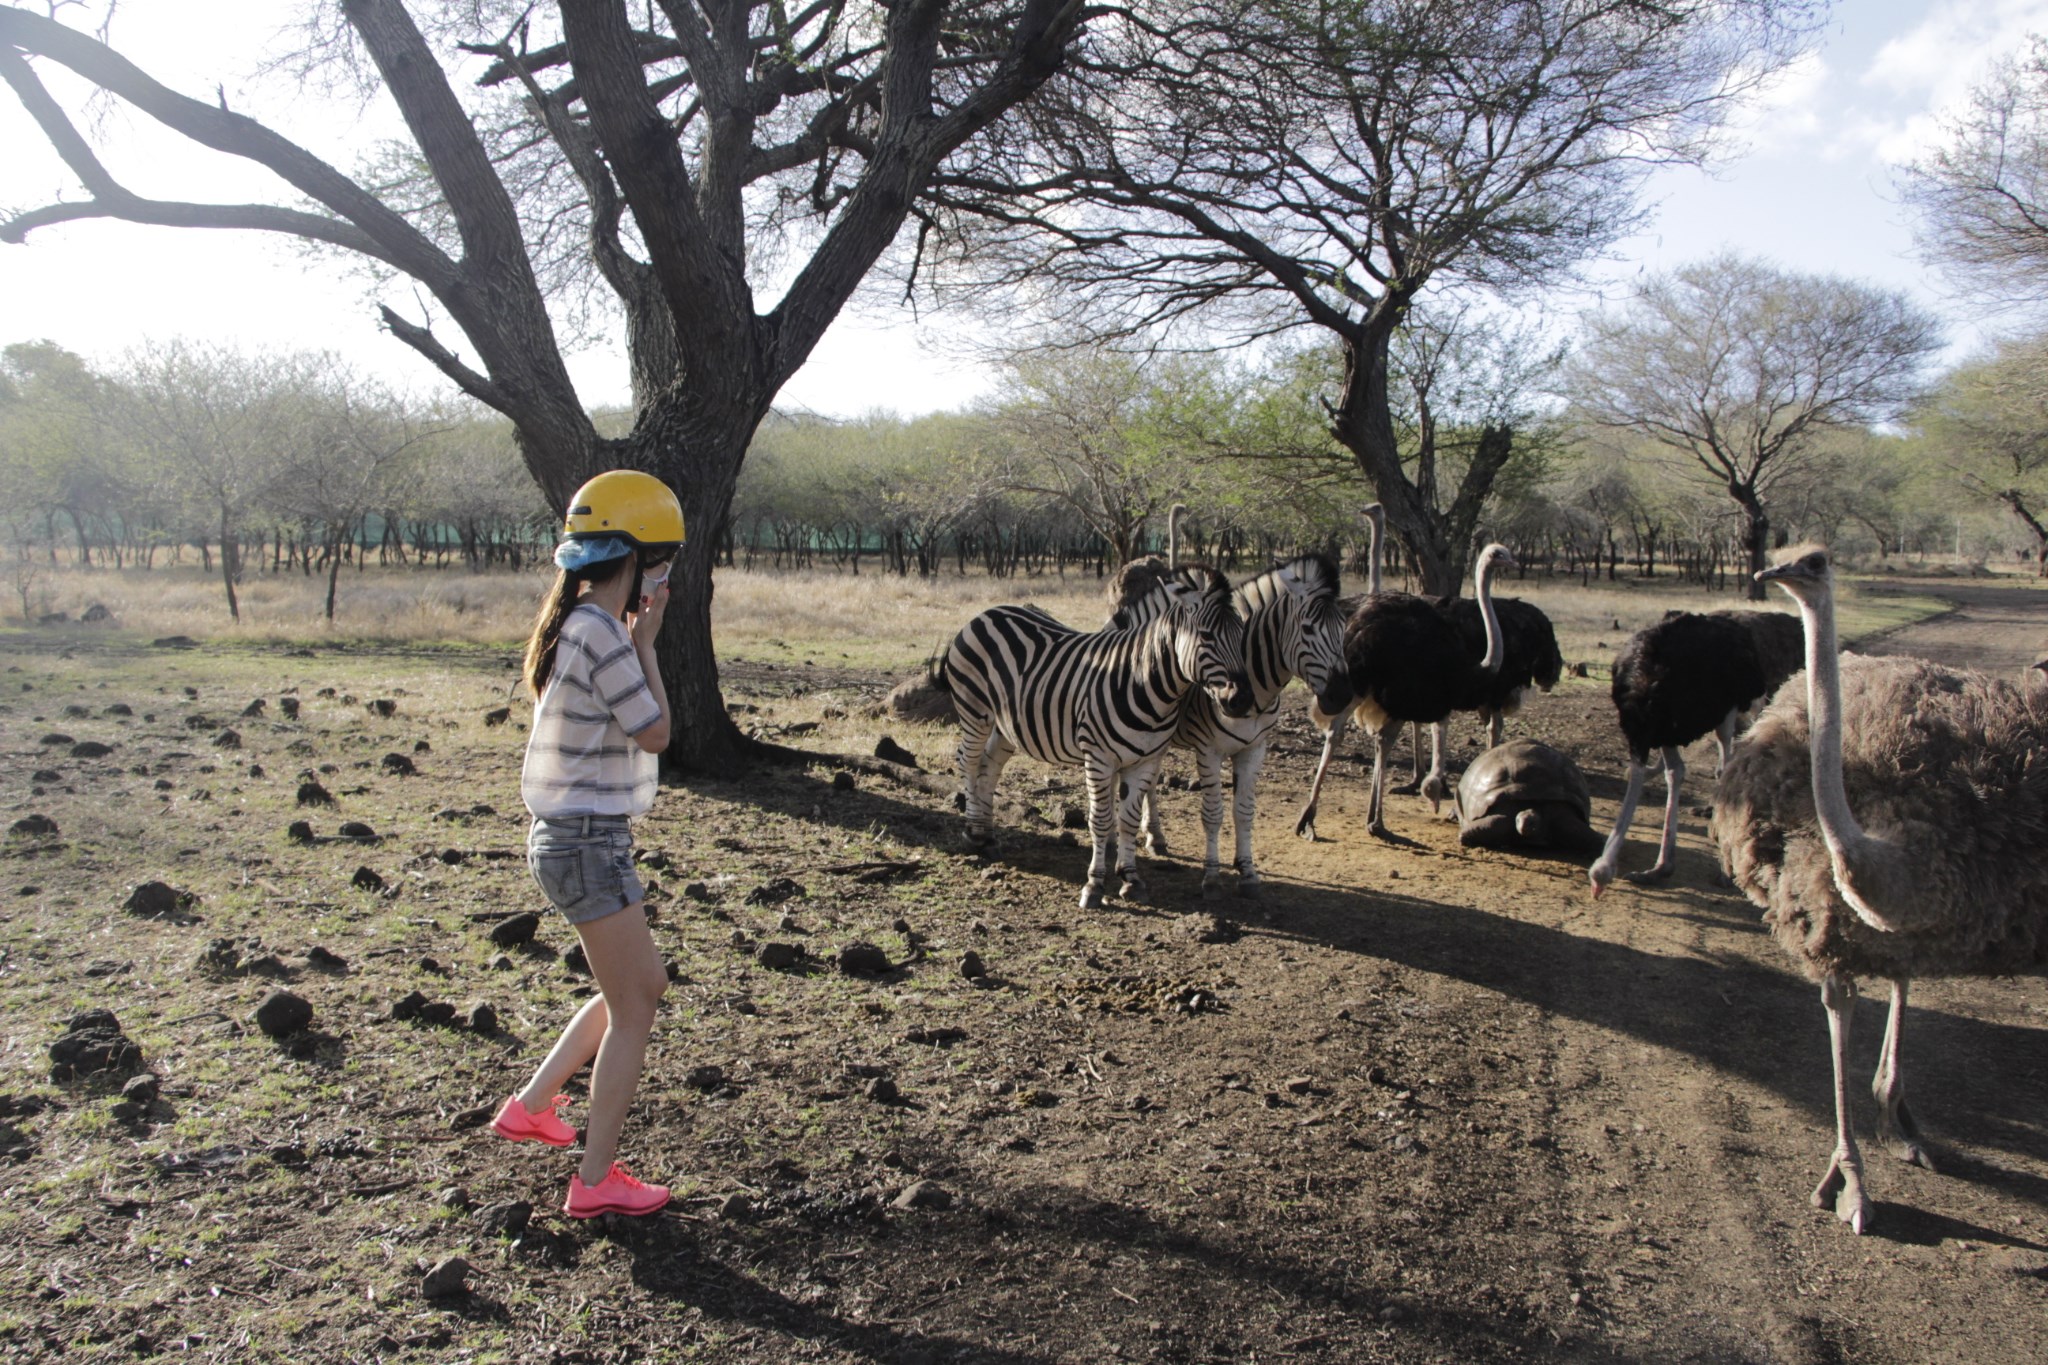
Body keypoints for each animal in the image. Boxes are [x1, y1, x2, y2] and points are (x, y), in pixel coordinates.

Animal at [937, 564, 1253, 908]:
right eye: (1207, 636)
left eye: (1242, 633)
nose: (1243, 700)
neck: (1143, 680)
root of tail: (986, 613)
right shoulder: (1099, 758)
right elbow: (1100, 820)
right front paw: (1094, 884)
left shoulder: (1146, 759)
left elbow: (1128, 819)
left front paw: (1131, 878)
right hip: (975, 711)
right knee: (968, 762)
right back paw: (972, 833)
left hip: (1006, 725)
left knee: (989, 766)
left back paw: (987, 835)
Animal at [1114, 556, 1351, 896]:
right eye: (1307, 628)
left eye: (1344, 629)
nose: (1342, 696)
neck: (1257, 686)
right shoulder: (1208, 750)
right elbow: (1213, 813)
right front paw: (1212, 875)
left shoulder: (1255, 749)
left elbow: (1244, 812)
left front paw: (1248, 872)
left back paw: (1155, 837)